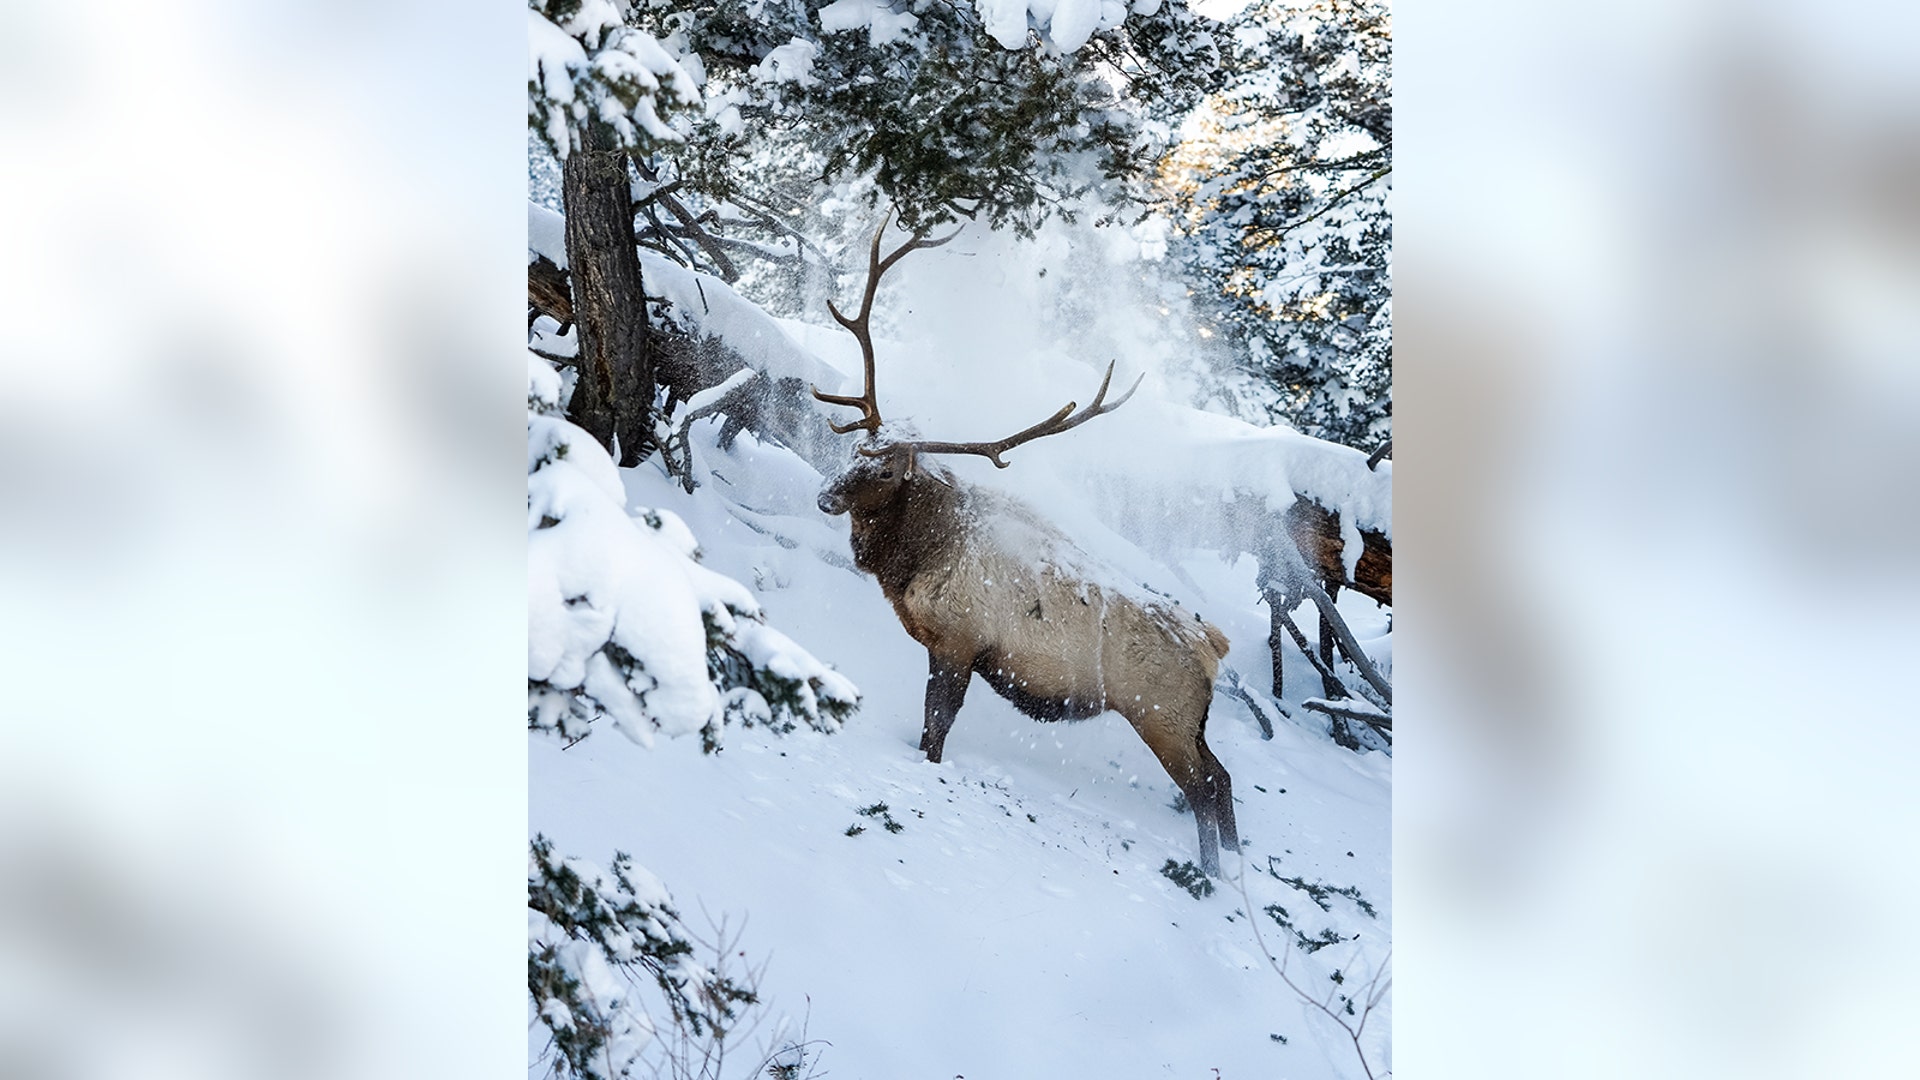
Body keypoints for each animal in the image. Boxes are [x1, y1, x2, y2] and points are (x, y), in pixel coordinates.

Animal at [810, 215, 1240, 875]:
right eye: (858, 449)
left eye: (886, 471)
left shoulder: (960, 640)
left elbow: (937, 723)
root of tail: (1213, 645)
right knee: (1222, 781)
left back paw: (1210, 875)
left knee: (1201, 789)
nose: (825, 498)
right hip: (1191, 723)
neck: (915, 560)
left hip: (1161, 716)